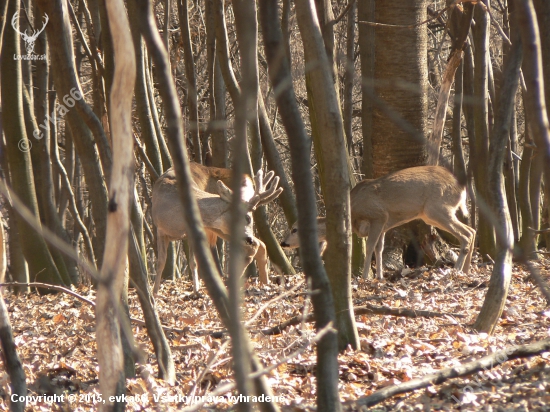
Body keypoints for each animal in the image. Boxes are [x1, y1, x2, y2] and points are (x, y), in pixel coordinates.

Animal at [154, 163, 284, 294]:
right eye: (247, 218)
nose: (249, 238)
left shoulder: (192, 231)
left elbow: (193, 262)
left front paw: (196, 290)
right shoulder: (160, 230)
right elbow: (160, 262)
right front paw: (154, 293)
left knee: (254, 246)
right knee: (259, 244)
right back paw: (264, 283)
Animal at [282, 167, 476, 280]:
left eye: (294, 229)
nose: (283, 243)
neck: (353, 210)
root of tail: (462, 189)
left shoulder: (379, 216)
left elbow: (369, 247)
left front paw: (365, 277)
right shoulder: (384, 226)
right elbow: (379, 248)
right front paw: (380, 277)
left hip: (436, 208)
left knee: (466, 234)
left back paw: (457, 270)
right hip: (433, 213)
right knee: (472, 230)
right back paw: (466, 270)